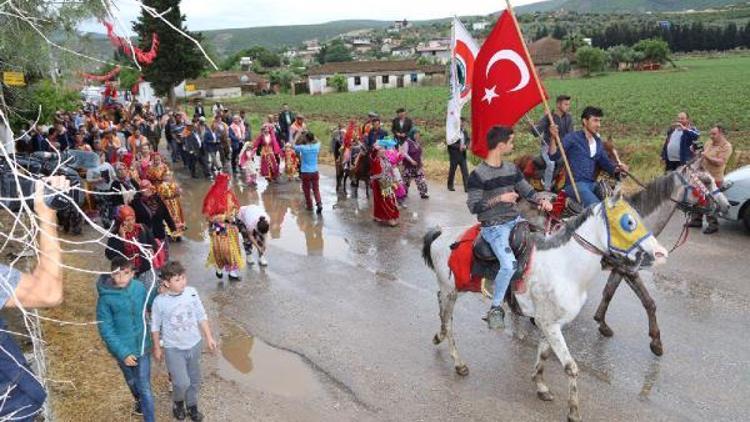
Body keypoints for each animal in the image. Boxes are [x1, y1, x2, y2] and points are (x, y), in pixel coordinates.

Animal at [424, 194, 668, 422]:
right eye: (628, 222)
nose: (661, 254)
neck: (565, 267)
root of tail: (441, 232)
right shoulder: (548, 324)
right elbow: (570, 366)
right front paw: (573, 411)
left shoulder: (549, 322)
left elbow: (543, 354)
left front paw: (541, 386)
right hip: (450, 290)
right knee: (448, 322)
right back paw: (458, 362)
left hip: (453, 289)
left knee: (441, 310)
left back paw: (438, 336)